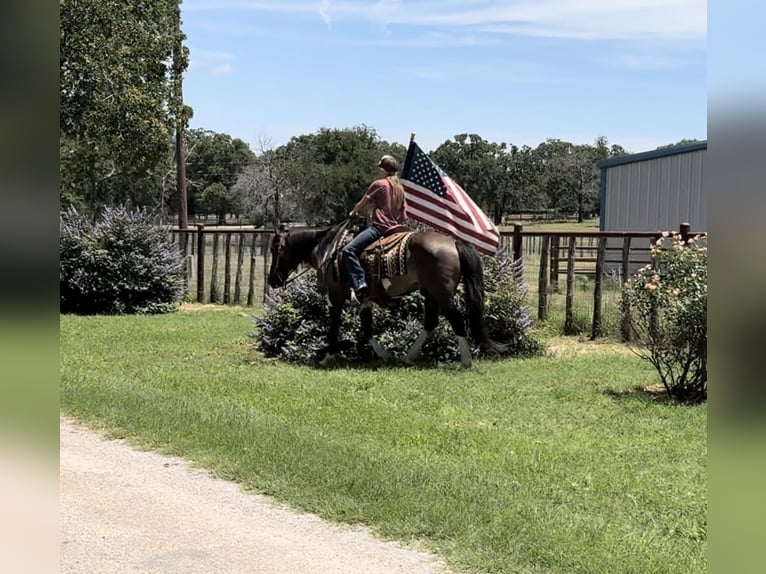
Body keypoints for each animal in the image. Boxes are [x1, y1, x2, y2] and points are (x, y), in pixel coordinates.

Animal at [268, 223, 508, 366]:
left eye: (275, 249)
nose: (272, 280)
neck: (330, 251)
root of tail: (453, 242)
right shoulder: (364, 301)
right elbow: (367, 330)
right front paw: (383, 355)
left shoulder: (335, 298)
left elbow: (334, 327)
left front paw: (328, 357)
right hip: (429, 293)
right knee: (430, 323)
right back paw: (408, 357)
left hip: (442, 293)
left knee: (456, 320)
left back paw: (465, 361)